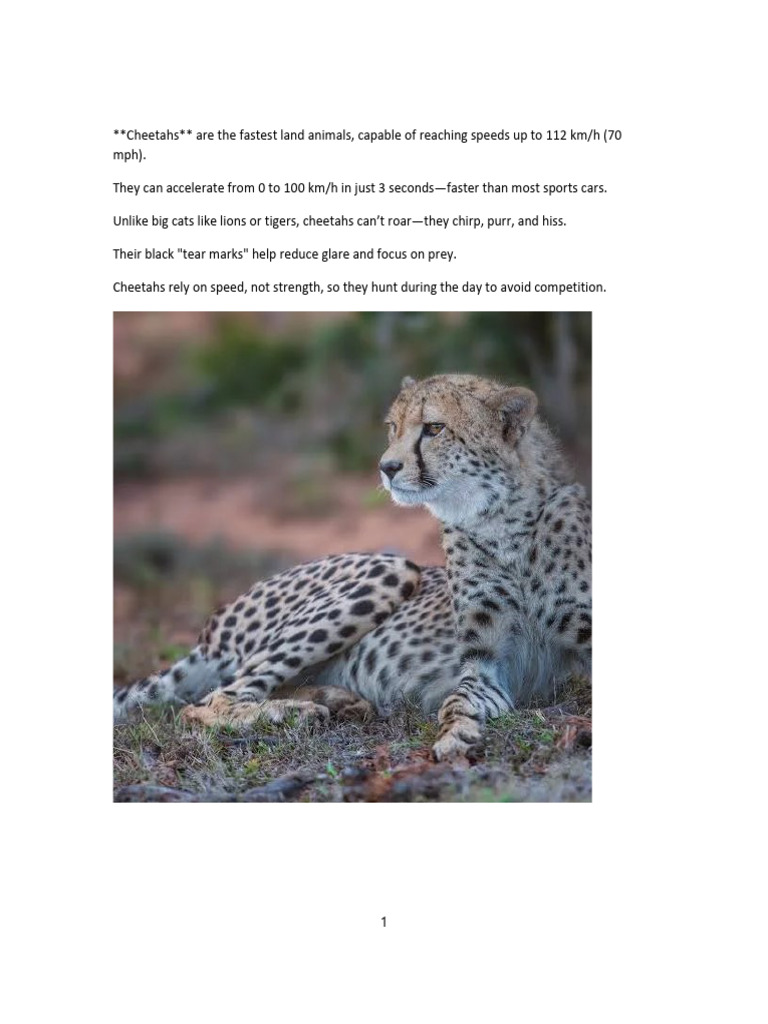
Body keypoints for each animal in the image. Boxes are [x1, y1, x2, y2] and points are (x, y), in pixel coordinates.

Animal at [114, 373, 592, 762]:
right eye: (393, 427)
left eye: (434, 428)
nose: (387, 467)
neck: (501, 522)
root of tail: (210, 630)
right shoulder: (485, 661)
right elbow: (456, 702)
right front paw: (456, 735)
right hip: (393, 569)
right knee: (208, 703)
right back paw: (298, 711)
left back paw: (337, 699)